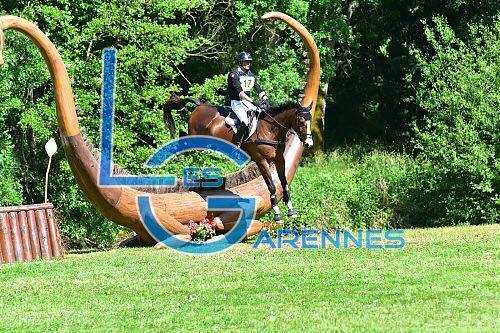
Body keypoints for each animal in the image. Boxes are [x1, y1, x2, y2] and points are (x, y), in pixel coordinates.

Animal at [164, 93, 312, 222]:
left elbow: (284, 183)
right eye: (301, 121)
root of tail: (200, 105)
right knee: (182, 136)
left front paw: (291, 211)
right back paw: (177, 157)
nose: (308, 144)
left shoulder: (280, 159)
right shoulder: (261, 161)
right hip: (196, 138)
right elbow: (271, 186)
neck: (270, 130)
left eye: (310, 120)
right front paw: (277, 215)